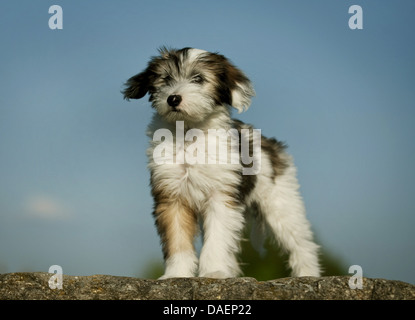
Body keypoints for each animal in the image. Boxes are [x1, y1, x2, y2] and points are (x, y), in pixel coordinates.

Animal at [123, 46, 322, 278]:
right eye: (166, 78)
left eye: (198, 79)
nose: (172, 99)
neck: (189, 135)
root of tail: (271, 143)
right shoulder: (172, 196)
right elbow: (177, 240)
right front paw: (176, 274)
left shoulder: (221, 196)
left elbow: (217, 239)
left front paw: (214, 272)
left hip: (281, 203)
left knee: (301, 243)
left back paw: (308, 274)